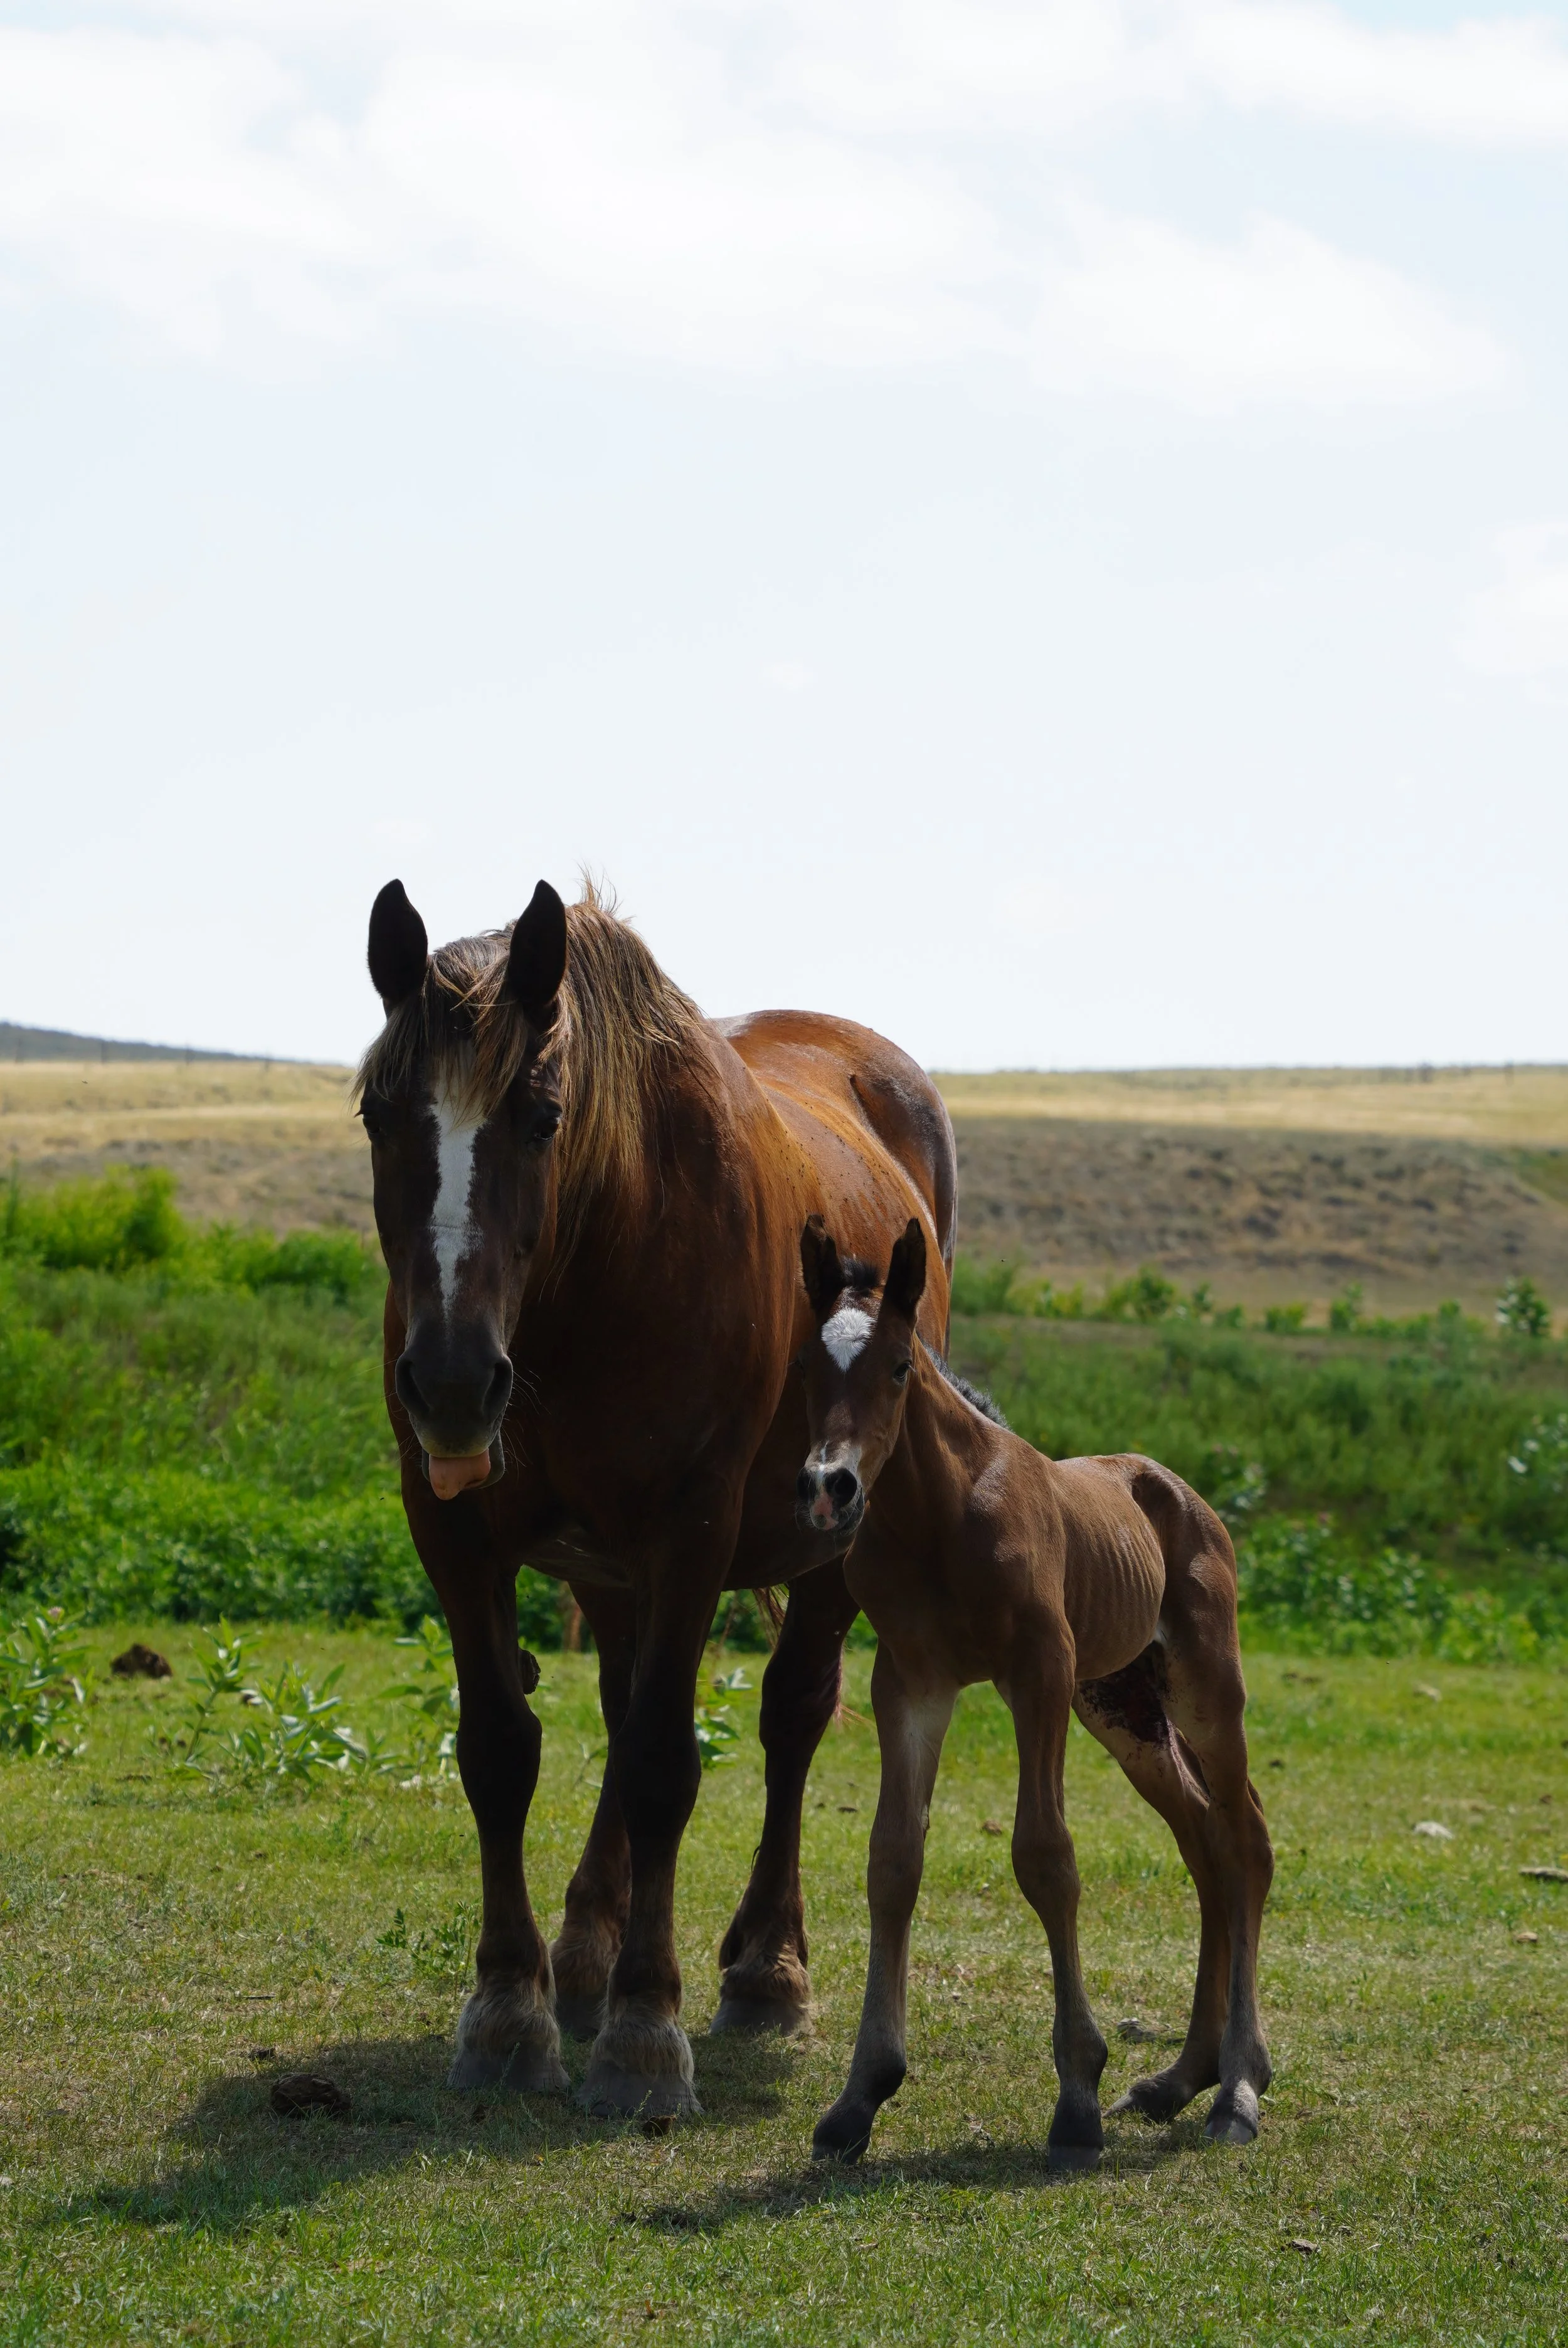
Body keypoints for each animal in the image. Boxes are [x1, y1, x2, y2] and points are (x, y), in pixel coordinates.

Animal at [355, 876, 957, 2118]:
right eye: (378, 1114)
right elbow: (502, 1748)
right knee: (624, 1698)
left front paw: (645, 2029)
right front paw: (511, 2007)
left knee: (789, 1717)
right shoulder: (453, 1529)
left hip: (832, 1541)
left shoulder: (692, 1532)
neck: (594, 1272)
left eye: (542, 1115)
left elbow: (663, 1764)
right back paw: (587, 1946)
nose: (451, 1379)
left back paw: (765, 1965)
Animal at [792, 1215, 1274, 2165]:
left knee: (1243, 1840)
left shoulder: (1039, 1671)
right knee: (1204, 1840)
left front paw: (1076, 2096)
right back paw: (1182, 2076)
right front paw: (860, 2094)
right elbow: (892, 1859)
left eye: (897, 1364)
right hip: (1123, 1706)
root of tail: (1181, 1491)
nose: (830, 1486)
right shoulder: (911, 1682)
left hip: (1202, 1689)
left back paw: (1237, 2086)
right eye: (809, 1364)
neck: (940, 1520)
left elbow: (1045, 1856)